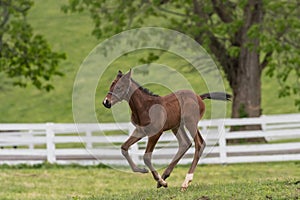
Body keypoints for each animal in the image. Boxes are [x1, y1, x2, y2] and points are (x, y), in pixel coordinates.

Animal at [102, 70, 231, 191]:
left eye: (119, 87)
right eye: (111, 85)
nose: (106, 102)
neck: (145, 107)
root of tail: (199, 97)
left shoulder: (156, 133)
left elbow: (146, 157)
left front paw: (161, 181)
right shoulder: (140, 131)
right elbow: (124, 147)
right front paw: (142, 170)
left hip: (191, 123)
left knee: (199, 144)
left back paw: (185, 181)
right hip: (177, 126)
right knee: (185, 143)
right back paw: (165, 176)